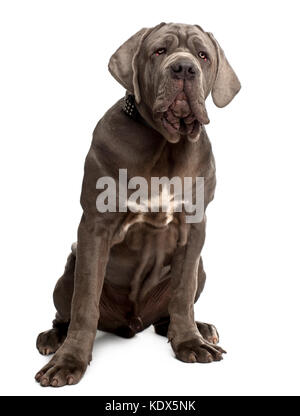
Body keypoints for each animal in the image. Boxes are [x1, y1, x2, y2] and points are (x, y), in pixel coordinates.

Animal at [35, 22, 241, 386]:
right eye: (159, 51)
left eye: (202, 55)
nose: (184, 68)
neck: (165, 143)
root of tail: (134, 322)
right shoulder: (95, 227)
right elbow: (84, 303)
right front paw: (69, 361)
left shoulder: (194, 228)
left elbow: (182, 293)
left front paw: (190, 341)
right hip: (68, 269)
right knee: (66, 312)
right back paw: (52, 338)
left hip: (201, 268)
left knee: (170, 311)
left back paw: (199, 329)